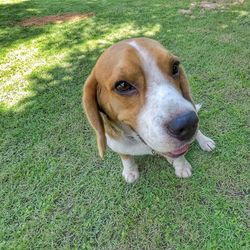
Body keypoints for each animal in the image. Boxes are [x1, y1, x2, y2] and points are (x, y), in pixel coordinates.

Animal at [82, 37, 215, 183]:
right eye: (122, 85)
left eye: (175, 67)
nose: (188, 124)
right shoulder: (117, 146)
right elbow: (126, 158)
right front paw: (130, 171)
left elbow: (179, 155)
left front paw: (182, 166)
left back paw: (205, 141)